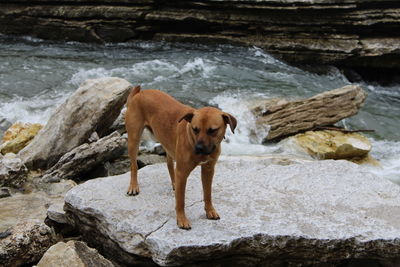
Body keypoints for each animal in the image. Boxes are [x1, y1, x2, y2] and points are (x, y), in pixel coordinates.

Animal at [125, 86, 236, 230]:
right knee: (134, 166)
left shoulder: (208, 170)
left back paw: (174, 183)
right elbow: (181, 200)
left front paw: (210, 210)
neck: (191, 138)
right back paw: (133, 186)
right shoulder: (183, 173)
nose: (199, 148)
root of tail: (139, 93)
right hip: (134, 139)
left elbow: (207, 193)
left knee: (169, 164)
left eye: (212, 130)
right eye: (195, 129)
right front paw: (182, 219)